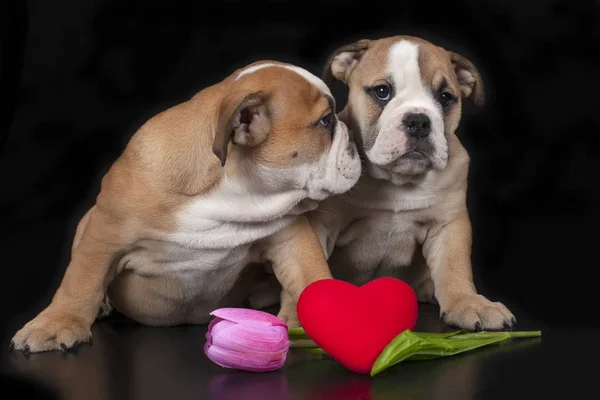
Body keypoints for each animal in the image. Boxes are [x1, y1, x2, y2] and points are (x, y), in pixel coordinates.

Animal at [10, 60, 360, 354]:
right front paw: (57, 324)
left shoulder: (289, 232)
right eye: (325, 122)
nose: (352, 133)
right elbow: (81, 278)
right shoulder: (104, 230)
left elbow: (310, 272)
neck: (230, 191)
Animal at [310, 36, 516, 332]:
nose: (418, 120)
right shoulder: (322, 225)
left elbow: (455, 266)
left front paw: (469, 302)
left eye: (446, 97)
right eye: (382, 91)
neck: (398, 181)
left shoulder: (449, 225)